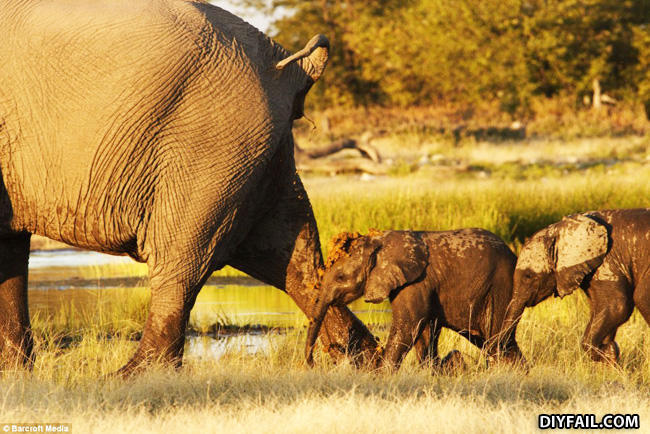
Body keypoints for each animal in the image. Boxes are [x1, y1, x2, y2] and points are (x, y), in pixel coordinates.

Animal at [0, 0, 379, 374]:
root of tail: (285, 65)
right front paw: (15, 373)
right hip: (258, 150)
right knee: (288, 258)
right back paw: (366, 359)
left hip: (211, 143)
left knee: (183, 258)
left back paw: (135, 375)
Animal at [305, 229, 524, 371]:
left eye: (340, 277)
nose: (311, 363)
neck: (379, 243)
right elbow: (424, 331)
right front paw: (430, 372)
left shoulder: (417, 281)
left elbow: (409, 324)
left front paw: (382, 375)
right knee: (497, 342)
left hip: (501, 288)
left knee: (497, 340)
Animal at [501, 209, 650, 364]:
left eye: (528, 276)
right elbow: (600, 309)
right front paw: (609, 353)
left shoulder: (608, 260)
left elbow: (617, 306)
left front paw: (608, 351)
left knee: (641, 297)